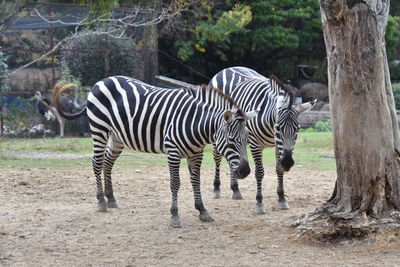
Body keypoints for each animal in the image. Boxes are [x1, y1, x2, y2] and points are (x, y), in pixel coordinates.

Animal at [51, 77, 258, 228]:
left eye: (247, 140)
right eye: (231, 140)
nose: (245, 171)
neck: (195, 123)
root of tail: (101, 81)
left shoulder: (196, 153)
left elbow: (196, 181)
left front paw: (202, 211)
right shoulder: (173, 151)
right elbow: (175, 183)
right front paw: (174, 216)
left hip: (117, 136)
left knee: (108, 162)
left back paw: (111, 198)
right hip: (99, 128)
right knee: (97, 162)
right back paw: (101, 200)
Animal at [209, 66, 316, 214]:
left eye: (298, 129)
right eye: (278, 127)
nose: (288, 163)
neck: (271, 128)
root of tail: (228, 68)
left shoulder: (278, 146)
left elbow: (279, 169)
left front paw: (282, 199)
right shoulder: (255, 144)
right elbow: (259, 173)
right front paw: (259, 203)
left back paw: (235, 189)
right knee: (217, 157)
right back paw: (216, 188)